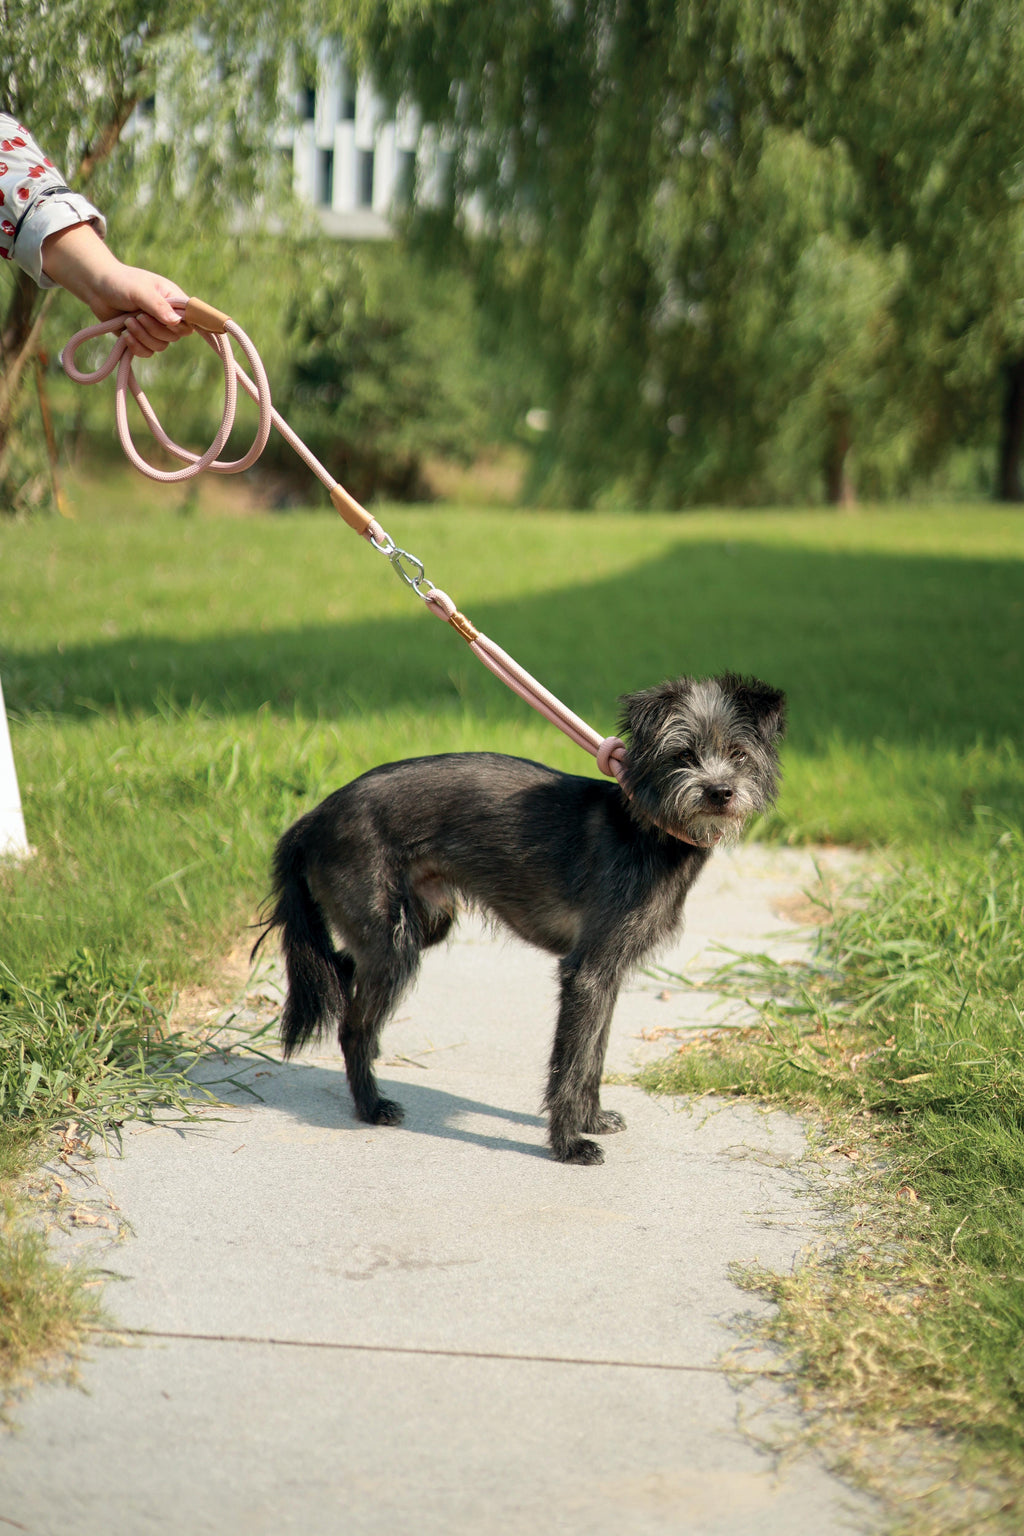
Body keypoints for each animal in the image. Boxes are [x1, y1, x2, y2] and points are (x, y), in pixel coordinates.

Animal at [254, 672, 786, 1161]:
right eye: (682, 755)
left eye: (738, 754)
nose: (720, 792)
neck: (647, 828)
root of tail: (314, 818)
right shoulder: (587, 973)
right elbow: (570, 1063)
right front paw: (569, 1143)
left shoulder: (608, 975)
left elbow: (593, 1055)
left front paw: (592, 1119)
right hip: (393, 945)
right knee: (353, 1025)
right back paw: (371, 1107)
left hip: (421, 925)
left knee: (340, 966)